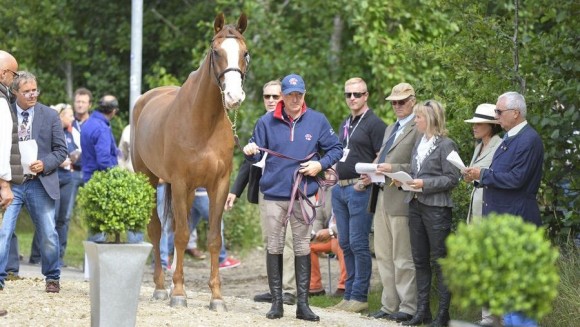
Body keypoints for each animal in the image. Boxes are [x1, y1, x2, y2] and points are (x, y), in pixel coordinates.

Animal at [130, 12, 248, 312]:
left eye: (245, 53)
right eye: (216, 52)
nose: (234, 97)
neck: (204, 121)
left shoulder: (218, 185)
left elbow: (214, 240)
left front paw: (216, 298)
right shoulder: (180, 182)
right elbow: (182, 235)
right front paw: (179, 293)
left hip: (192, 190)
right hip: (149, 180)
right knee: (157, 230)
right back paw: (162, 288)